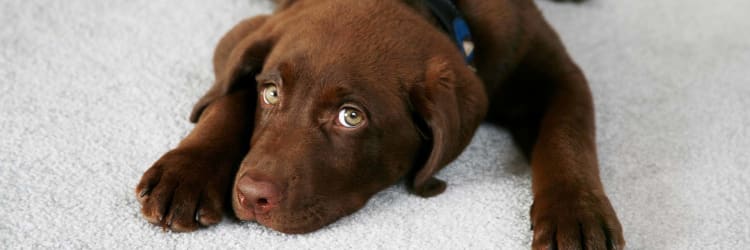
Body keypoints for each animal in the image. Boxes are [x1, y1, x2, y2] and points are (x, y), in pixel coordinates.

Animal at [137, 0, 628, 248]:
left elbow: (567, 135)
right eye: (271, 93)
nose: (253, 196)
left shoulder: (555, 70)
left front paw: (576, 215)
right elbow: (228, 94)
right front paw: (186, 172)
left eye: (351, 117)